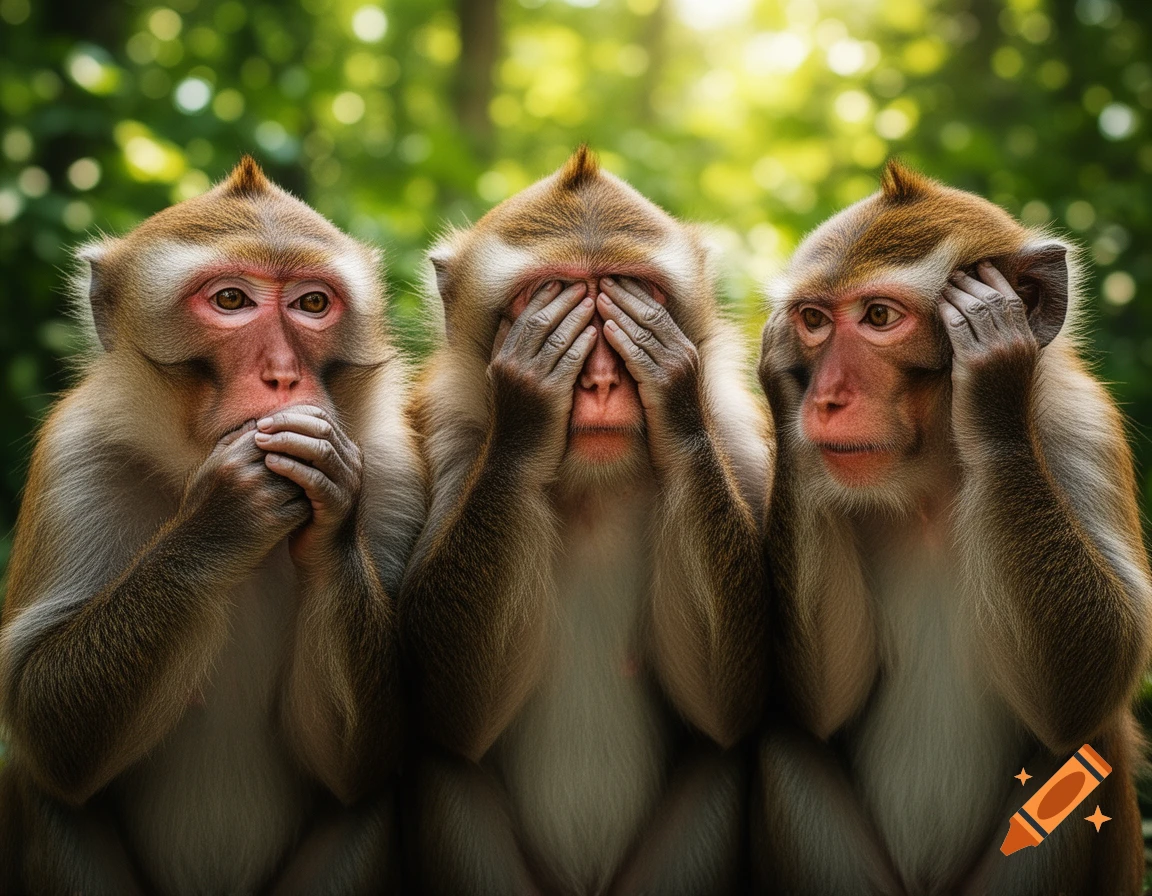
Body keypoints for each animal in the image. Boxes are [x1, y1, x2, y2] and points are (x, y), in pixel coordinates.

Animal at [0, 157, 425, 895]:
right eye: (231, 300)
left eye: (313, 305)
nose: (282, 376)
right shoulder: (75, 458)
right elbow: (42, 716)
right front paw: (223, 516)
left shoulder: (395, 467)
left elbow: (358, 761)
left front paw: (333, 512)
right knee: (48, 791)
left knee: (364, 802)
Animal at [398, 146, 773, 895]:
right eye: (548, 294)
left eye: (632, 291)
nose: (599, 382)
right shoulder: (444, 432)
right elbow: (450, 709)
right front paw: (526, 408)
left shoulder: (737, 432)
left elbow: (731, 706)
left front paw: (671, 391)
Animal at [752, 160, 1152, 896]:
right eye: (814, 320)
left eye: (880, 316)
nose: (825, 397)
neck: (936, 469)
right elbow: (822, 704)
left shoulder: (1080, 426)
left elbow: (1093, 677)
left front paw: (992, 378)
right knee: (784, 734)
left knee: (1076, 745)